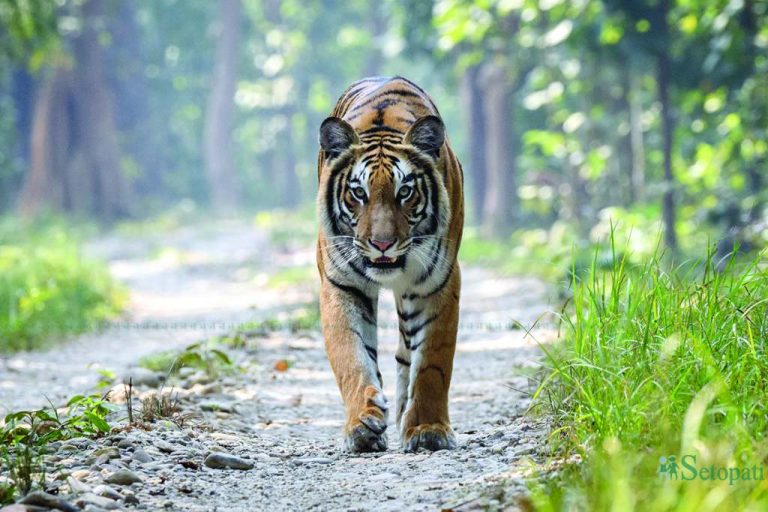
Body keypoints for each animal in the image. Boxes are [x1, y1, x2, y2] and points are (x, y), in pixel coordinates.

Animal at [316, 76, 464, 453]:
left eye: (405, 192)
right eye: (358, 193)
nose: (382, 244)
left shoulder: (438, 283)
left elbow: (432, 363)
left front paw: (427, 428)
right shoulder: (342, 284)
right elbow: (351, 355)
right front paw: (362, 424)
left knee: (406, 352)